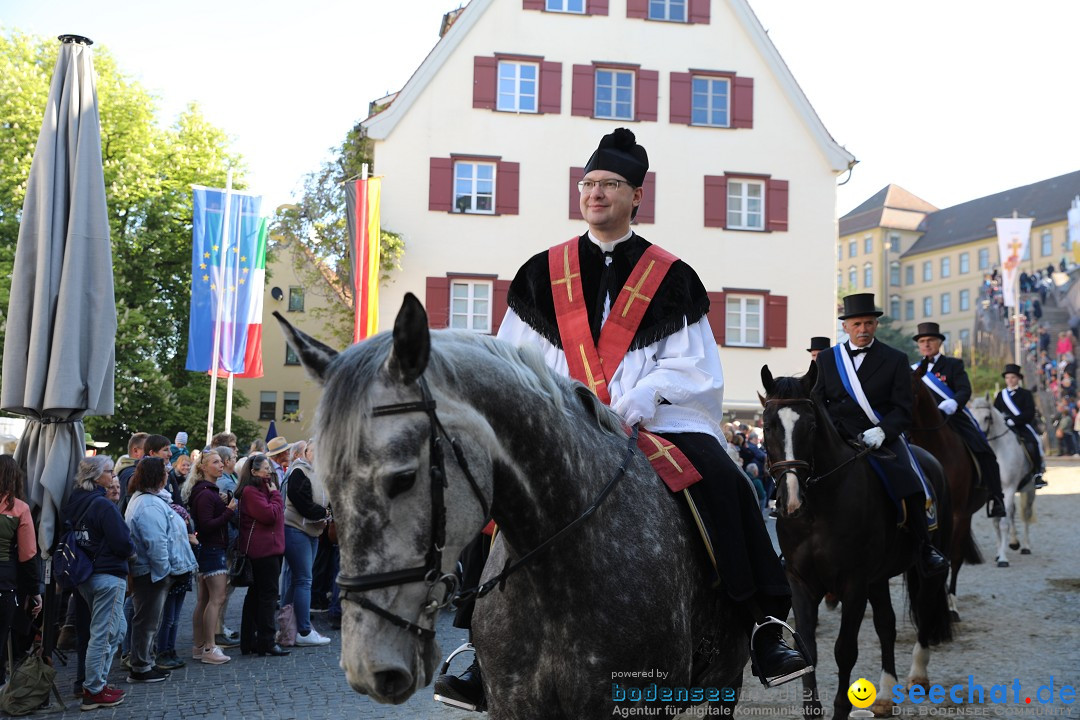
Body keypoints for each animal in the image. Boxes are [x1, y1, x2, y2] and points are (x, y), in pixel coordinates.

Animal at [907, 362, 984, 621]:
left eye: (911, 390)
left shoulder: (956, 513)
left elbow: (950, 556)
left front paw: (947, 606)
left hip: (965, 516)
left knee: (957, 557)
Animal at [963, 397, 1036, 565]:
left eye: (987, 417)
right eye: (971, 417)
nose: (980, 437)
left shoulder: (1008, 489)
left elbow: (1003, 523)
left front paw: (1002, 558)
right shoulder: (993, 492)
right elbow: (996, 522)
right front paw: (998, 553)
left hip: (1030, 489)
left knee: (1026, 514)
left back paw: (1026, 546)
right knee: (1012, 513)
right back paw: (1014, 543)